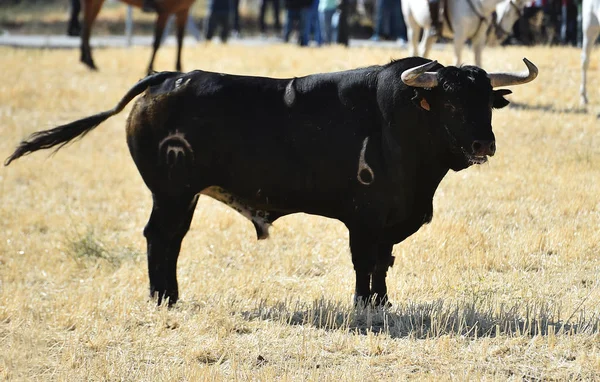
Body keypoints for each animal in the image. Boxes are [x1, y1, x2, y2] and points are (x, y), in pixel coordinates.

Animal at [4, 56, 540, 306]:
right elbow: (365, 263)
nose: (484, 145)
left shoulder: (390, 221)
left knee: (168, 239)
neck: (401, 125)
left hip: (179, 195)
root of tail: (168, 77)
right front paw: (365, 306)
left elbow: (384, 263)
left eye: (487, 102)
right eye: (450, 102)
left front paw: (383, 303)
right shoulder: (364, 219)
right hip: (172, 193)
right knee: (161, 238)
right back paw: (164, 299)